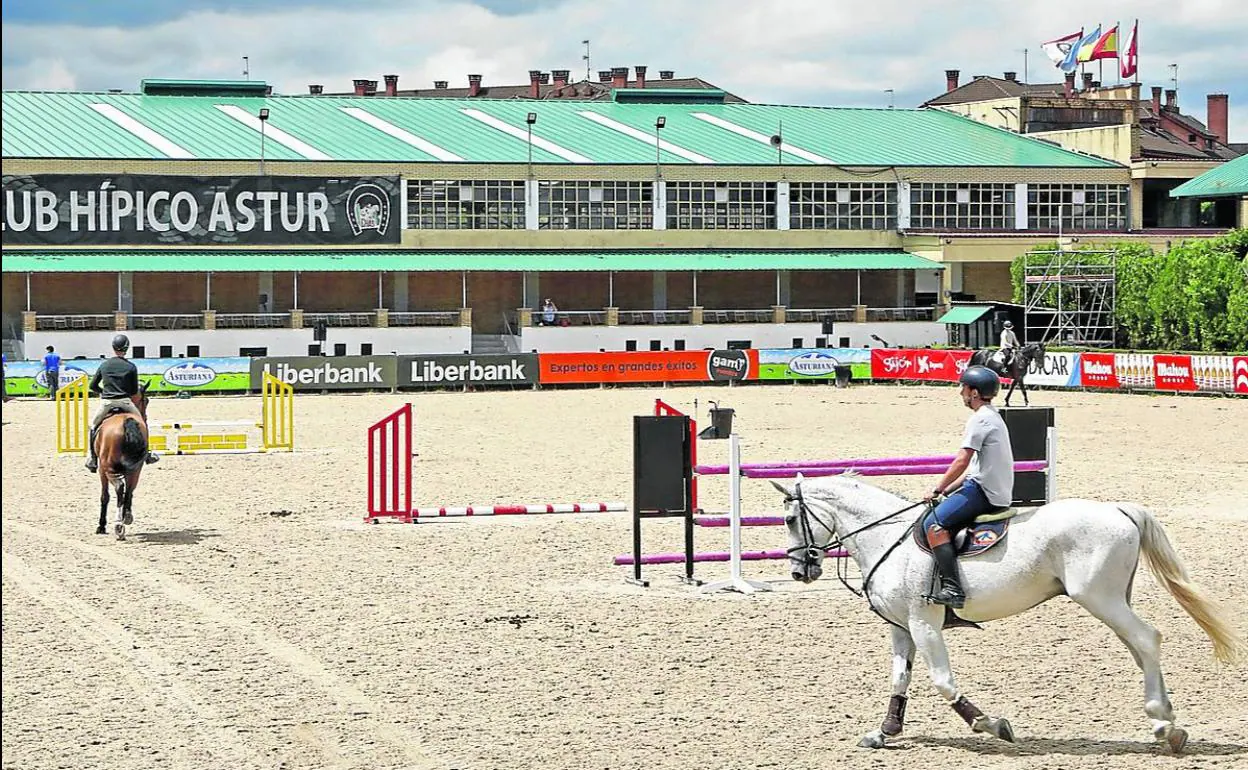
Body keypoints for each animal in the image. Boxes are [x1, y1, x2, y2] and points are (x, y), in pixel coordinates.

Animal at [94, 381, 149, 536]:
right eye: (146, 401)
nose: (145, 418)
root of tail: (127, 420)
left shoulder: (102, 470)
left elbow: (104, 496)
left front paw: (101, 526)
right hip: (136, 469)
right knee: (129, 491)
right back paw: (126, 518)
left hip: (109, 469)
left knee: (119, 488)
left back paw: (118, 526)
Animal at [768, 474, 1238, 748]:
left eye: (790, 518)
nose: (799, 571)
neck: (887, 538)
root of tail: (1116, 509)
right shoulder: (902, 628)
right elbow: (900, 680)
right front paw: (884, 732)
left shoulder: (924, 623)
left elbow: (942, 682)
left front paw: (990, 724)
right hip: (1111, 600)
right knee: (1140, 649)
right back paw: (1167, 721)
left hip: (1099, 599)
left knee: (1147, 639)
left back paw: (1164, 725)